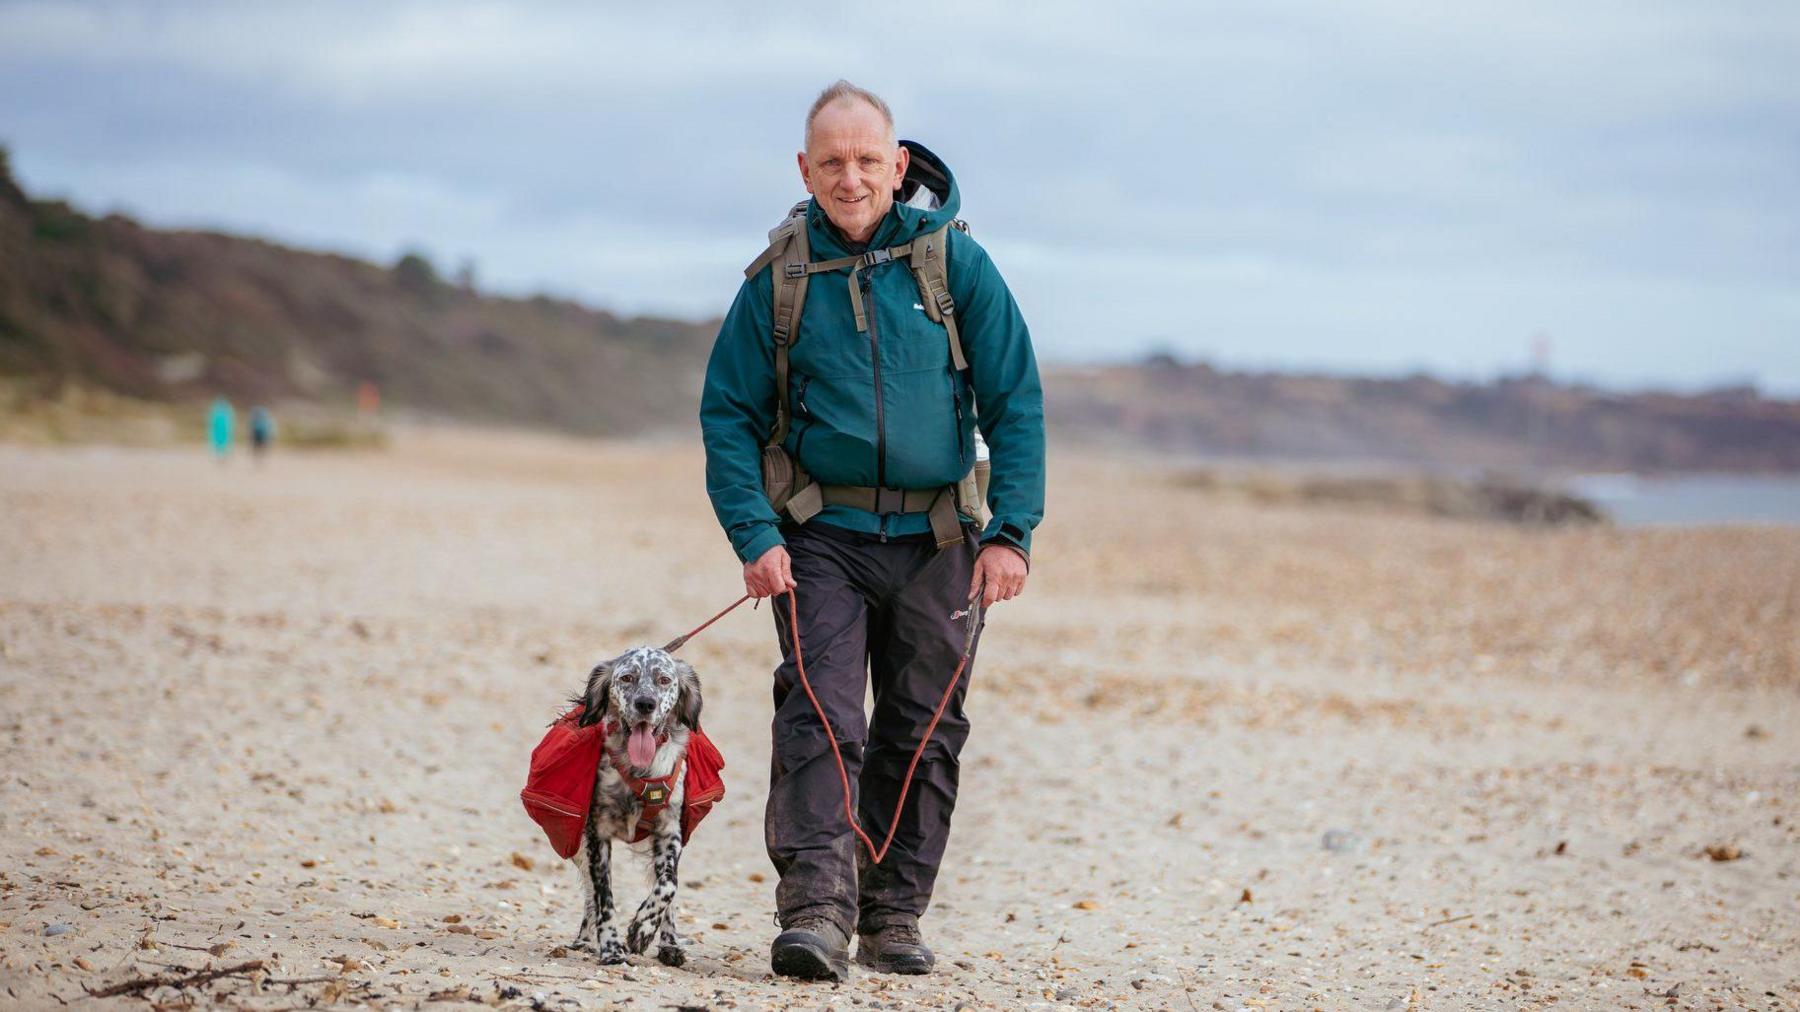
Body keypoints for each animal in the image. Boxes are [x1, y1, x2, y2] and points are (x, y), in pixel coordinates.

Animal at [568, 641, 702, 965]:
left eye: (664, 680)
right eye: (627, 678)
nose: (645, 704)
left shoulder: (669, 832)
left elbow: (668, 886)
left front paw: (642, 928)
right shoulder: (597, 835)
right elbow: (603, 898)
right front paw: (611, 948)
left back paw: (669, 945)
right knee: (590, 895)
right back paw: (584, 940)